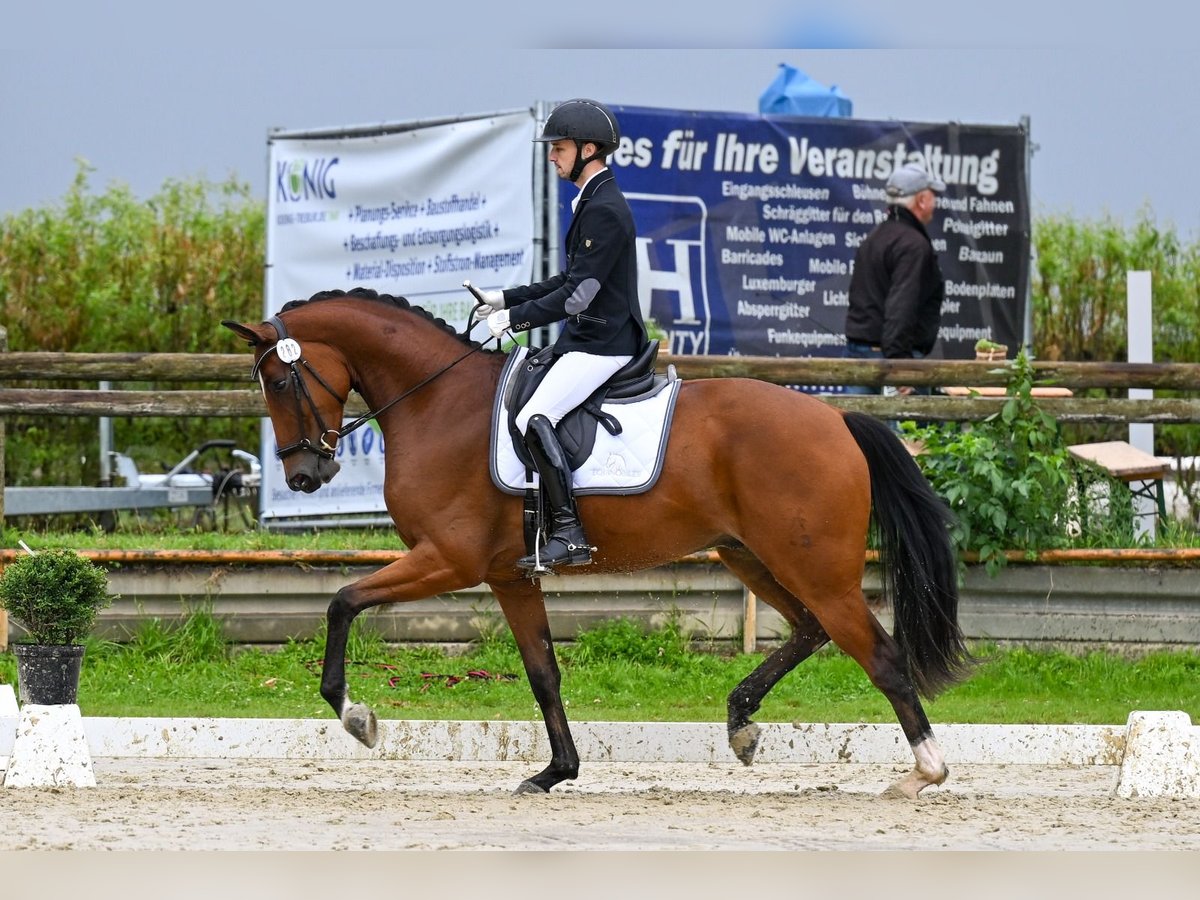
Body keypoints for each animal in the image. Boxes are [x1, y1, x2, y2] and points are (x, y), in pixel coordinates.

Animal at [225, 286, 974, 796]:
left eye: (279, 379)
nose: (305, 474)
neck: (437, 404)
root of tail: (838, 420)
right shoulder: (510, 575)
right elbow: (543, 673)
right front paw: (557, 771)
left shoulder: (448, 560)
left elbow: (343, 602)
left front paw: (357, 716)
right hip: (751, 555)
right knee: (810, 630)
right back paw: (740, 722)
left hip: (814, 566)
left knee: (879, 655)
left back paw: (924, 772)